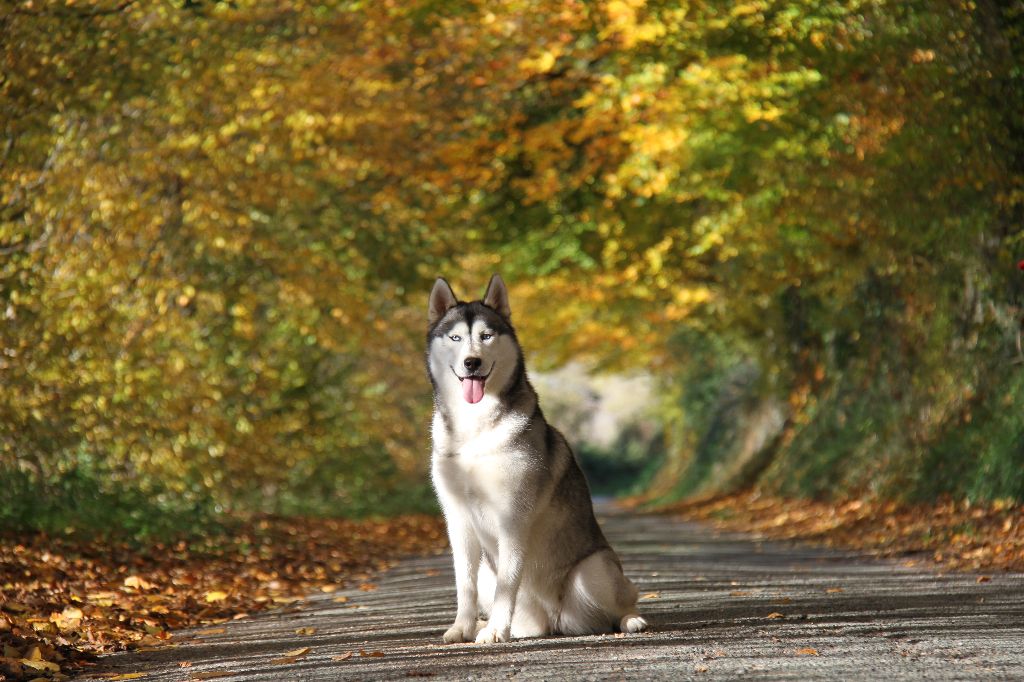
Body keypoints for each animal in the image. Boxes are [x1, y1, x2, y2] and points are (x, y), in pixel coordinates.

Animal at [425, 274, 647, 638]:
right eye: (455, 337)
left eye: (486, 336)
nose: (472, 362)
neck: (475, 428)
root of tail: (554, 621)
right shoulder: (457, 519)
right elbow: (464, 585)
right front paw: (462, 628)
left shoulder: (513, 517)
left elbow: (508, 583)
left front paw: (495, 632)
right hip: (491, 570)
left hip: (595, 568)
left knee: (622, 602)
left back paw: (630, 620)